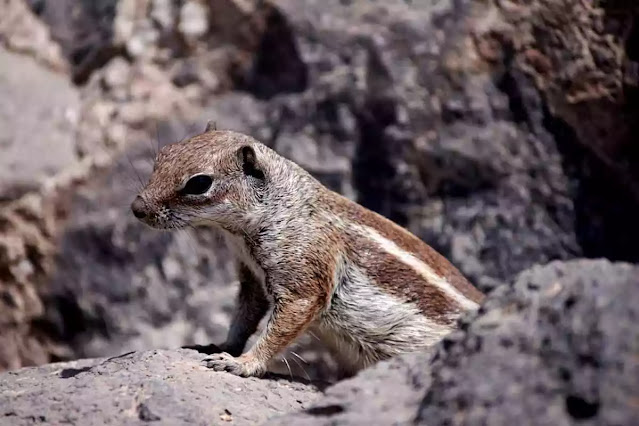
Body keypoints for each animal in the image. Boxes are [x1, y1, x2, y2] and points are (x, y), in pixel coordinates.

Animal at [131, 126, 484, 376]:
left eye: (199, 183)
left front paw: (243, 363)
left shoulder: (303, 274)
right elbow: (244, 316)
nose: (137, 208)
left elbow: (282, 327)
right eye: (163, 154)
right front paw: (222, 346)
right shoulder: (251, 278)